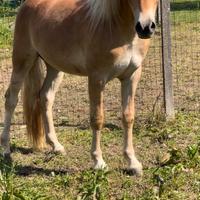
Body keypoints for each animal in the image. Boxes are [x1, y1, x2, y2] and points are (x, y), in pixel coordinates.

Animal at [0, 0, 159, 175]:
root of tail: (26, 6)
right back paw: (6, 149)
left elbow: (128, 117)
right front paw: (98, 162)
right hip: (22, 61)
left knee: (45, 98)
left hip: (54, 68)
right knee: (11, 100)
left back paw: (56, 146)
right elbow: (97, 119)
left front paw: (132, 163)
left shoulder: (131, 77)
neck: (115, 27)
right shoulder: (97, 79)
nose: (145, 27)